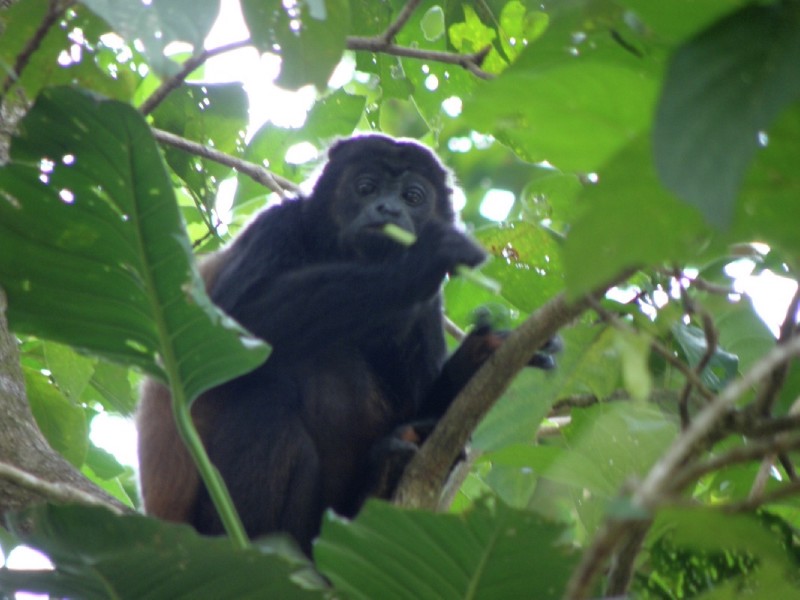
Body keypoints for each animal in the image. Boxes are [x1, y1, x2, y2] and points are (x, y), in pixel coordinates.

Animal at [137, 134, 557, 553]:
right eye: (365, 187)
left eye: (413, 196)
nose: (388, 208)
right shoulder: (277, 225)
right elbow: (230, 328)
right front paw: (420, 260)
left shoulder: (428, 307)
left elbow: (428, 413)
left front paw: (484, 350)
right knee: (265, 398)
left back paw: (382, 475)